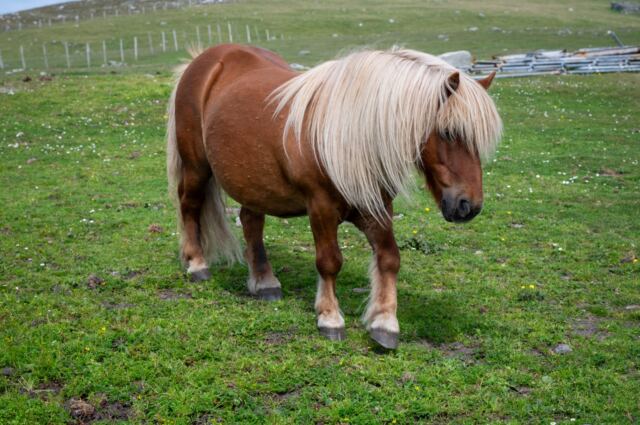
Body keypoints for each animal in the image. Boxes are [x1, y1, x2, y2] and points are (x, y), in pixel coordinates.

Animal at [166, 44, 502, 349]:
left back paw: (264, 283)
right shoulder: (321, 208)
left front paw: (385, 323)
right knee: (190, 206)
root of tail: (205, 59)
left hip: (252, 183)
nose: (468, 206)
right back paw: (198, 265)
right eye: (448, 132)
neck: (347, 136)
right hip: (197, 168)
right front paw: (330, 318)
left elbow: (390, 258)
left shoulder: (377, 208)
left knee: (251, 222)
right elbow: (329, 262)